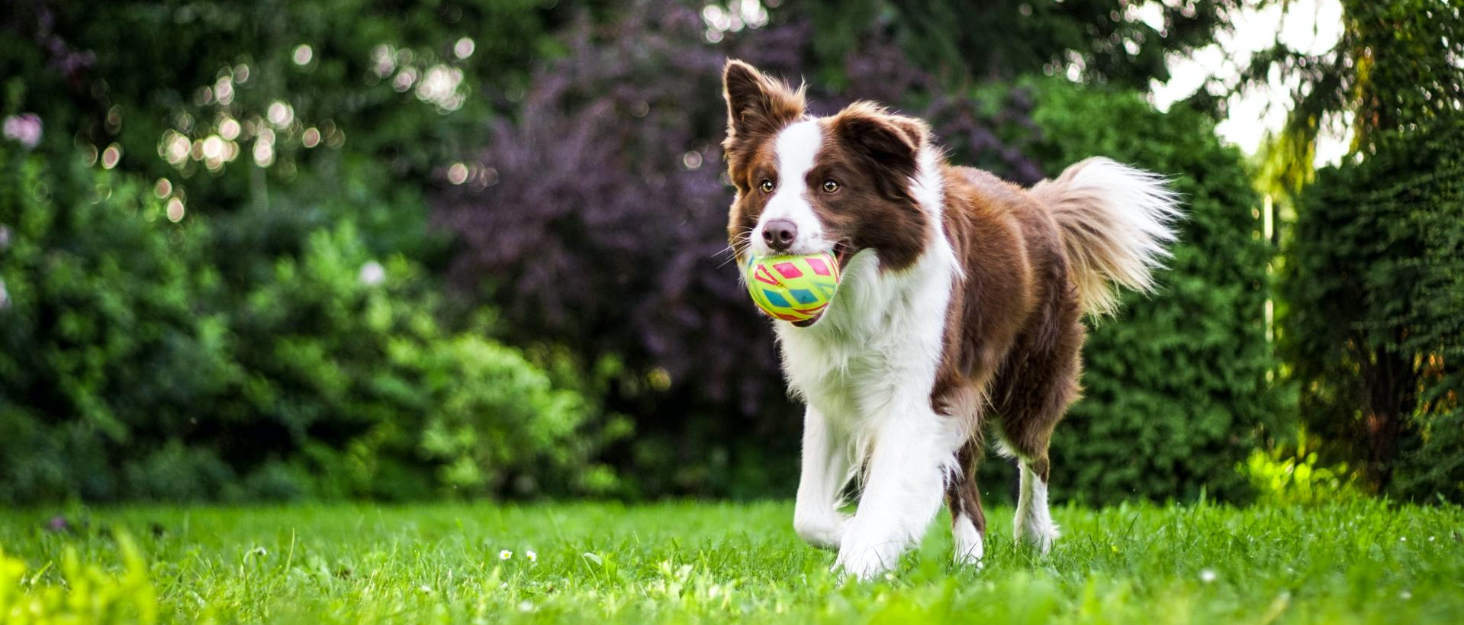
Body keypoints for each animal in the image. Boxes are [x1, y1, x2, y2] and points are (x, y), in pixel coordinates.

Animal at [726, 61, 1182, 579]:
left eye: (830, 186)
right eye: (766, 185)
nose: (775, 233)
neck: (861, 294)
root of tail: (1038, 203)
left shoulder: (918, 393)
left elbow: (884, 496)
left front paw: (858, 565)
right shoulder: (835, 393)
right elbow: (808, 515)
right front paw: (857, 536)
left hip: (1029, 377)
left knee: (1036, 455)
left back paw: (1033, 535)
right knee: (967, 489)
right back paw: (969, 563)